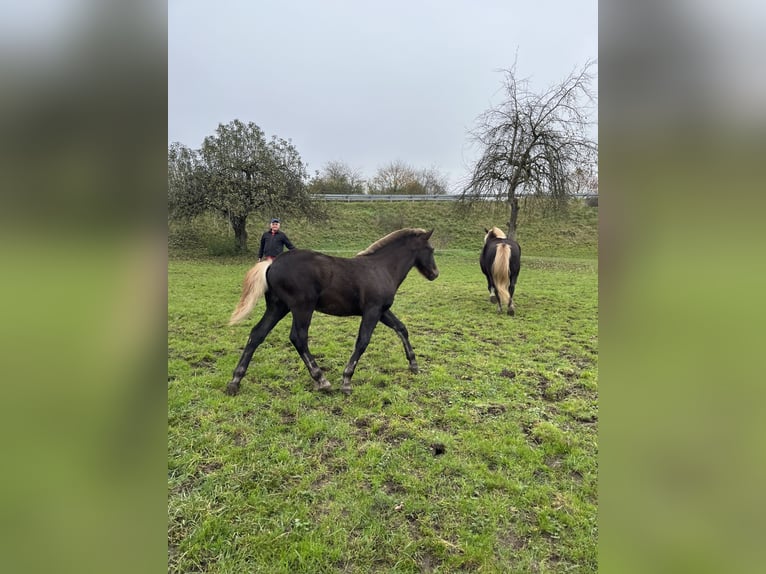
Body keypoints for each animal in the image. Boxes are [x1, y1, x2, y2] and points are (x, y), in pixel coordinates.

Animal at [226, 228, 438, 396]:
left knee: (257, 334)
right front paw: (346, 381)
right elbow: (362, 342)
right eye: (430, 250)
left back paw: (235, 381)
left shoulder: (382, 310)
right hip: (302, 307)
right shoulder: (372, 310)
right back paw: (322, 380)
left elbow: (402, 328)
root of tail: (272, 264)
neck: (381, 268)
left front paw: (414, 365)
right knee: (298, 337)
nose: (435, 274)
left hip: (278, 307)